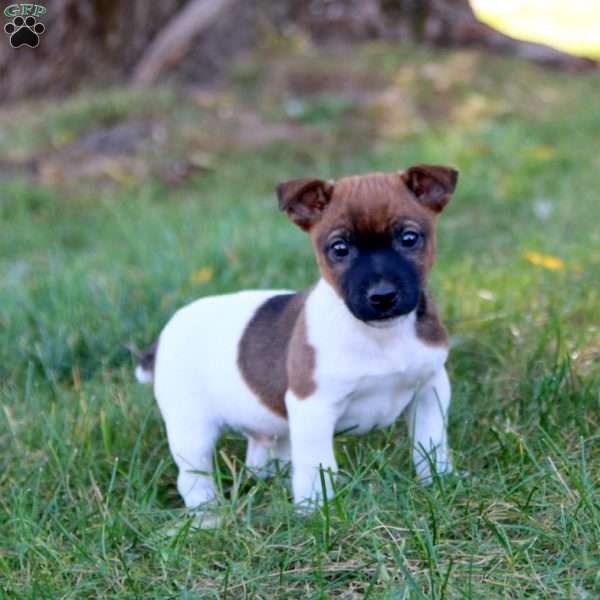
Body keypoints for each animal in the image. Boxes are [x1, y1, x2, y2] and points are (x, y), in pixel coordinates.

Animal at [136, 164, 458, 506]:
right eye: (339, 248)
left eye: (409, 238)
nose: (382, 296)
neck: (380, 336)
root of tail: (164, 336)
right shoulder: (314, 408)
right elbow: (317, 467)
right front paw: (315, 508)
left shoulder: (431, 389)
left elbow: (430, 444)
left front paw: (439, 482)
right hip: (192, 430)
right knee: (193, 479)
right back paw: (207, 513)